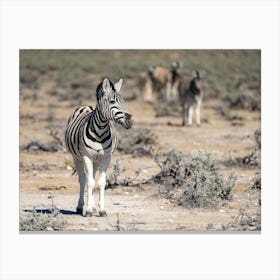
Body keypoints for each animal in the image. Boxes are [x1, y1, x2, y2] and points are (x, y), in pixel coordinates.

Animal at [65, 77, 133, 218]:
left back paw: (94, 206)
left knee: (92, 177)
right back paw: (81, 207)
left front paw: (101, 210)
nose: (130, 120)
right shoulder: (86, 156)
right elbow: (89, 182)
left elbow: (101, 182)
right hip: (77, 157)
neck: (100, 131)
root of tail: (86, 106)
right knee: (83, 180)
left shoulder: (106, 157)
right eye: (112, 101)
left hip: (96, 160)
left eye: (123, 101)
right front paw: (88, 211)